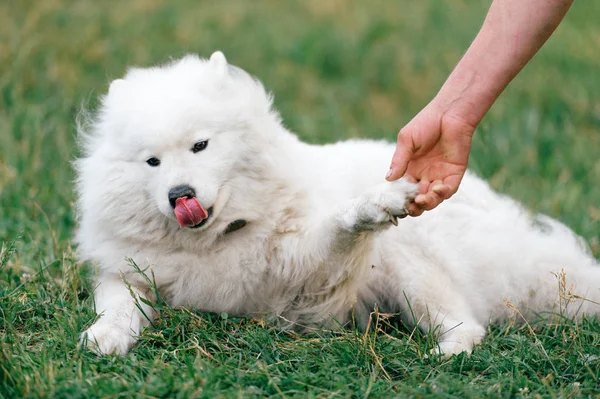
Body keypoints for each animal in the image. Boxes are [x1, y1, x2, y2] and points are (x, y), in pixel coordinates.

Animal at [76, 52, 600, 356]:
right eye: (152, 162)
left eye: (200, 145)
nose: (178, 196)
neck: (221, 237)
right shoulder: (129, 273)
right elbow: (119, 304)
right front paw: (104, 336)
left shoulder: (309, 288)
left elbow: (339, 226)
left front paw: (376, 203)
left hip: (408, 259)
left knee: (468, 325)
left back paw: (446, 352)